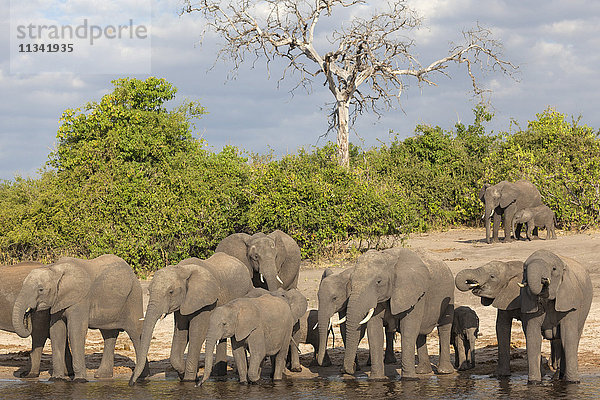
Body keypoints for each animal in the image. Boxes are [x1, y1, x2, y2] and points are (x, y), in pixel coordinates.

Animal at [12, 255, 146, 382]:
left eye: (41, 289)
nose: (28, 313)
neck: (55, 269)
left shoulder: (81, 299)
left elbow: (75, 331)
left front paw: (80, 380)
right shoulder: (59, 300)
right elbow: (57, 331)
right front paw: (56, 379)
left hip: (134, 297)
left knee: (136, 334)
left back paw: (141, 377)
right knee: (109, 335)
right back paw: (102, 376)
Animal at [130, 253, 252, 384]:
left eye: (171, 292)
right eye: (149, 291)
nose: (132, 382)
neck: (183, 269)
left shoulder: (206, 303)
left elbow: (196, 334)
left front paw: (189, 380)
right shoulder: (182, 304)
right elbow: (181, 335)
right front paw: (186, 374)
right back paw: (218, 374)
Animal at [340, 248, 452, 380]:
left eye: (379, 282)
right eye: (351, 281)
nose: (351, 368)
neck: (388, 260)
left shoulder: (414, 294)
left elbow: (408, 330)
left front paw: (409, 379)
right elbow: (374, 332)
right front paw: (376, 380)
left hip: (449, 297)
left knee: (444, 329)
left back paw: (444, 372)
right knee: (421, 333)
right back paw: (422, 372)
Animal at [516, 248, 592, 382]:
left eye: (554, 269)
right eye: (524, 269)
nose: (544, 280)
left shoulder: (569, 302)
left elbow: (568, 337)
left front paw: (573, 382)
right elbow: (533, 337)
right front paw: (534, 382)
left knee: (573, 337)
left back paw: (560, 377)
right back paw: (557, 378)